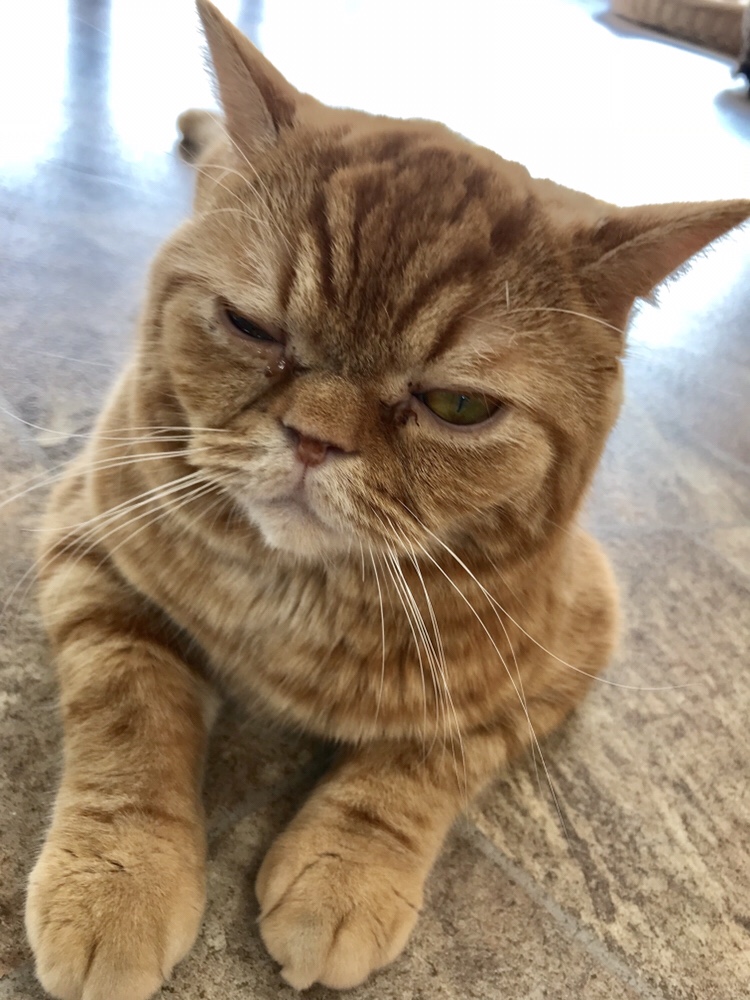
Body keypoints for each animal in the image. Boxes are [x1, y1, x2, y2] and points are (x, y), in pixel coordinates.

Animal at [23, 1, 750, 998]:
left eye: (458, 406)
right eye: (250, 326)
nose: (314, 439)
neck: (295, 593)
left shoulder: (569, 649)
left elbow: (429, 756)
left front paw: (349, 869)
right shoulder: (90, 541)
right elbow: (129, 710)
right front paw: (118, 877)